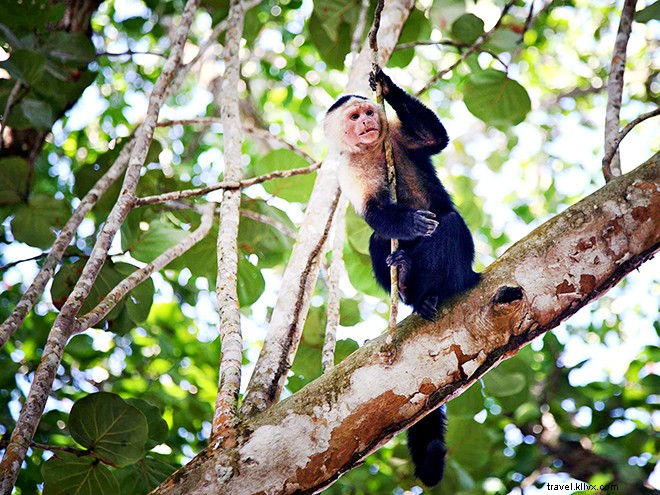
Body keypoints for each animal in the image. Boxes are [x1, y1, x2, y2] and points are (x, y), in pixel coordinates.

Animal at [324, 70, 480, 488]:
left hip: (462, 270)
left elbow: (433, 138)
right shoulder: (349, 171)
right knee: (379, 240)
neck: (371, 150)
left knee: (450, 224)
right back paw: (409, 284)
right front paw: (408, 224)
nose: (366, 122)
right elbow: (374, 213)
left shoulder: (393, 135)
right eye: (354, 118)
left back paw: (428, 291)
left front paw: (386, 83)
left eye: (367, 112)